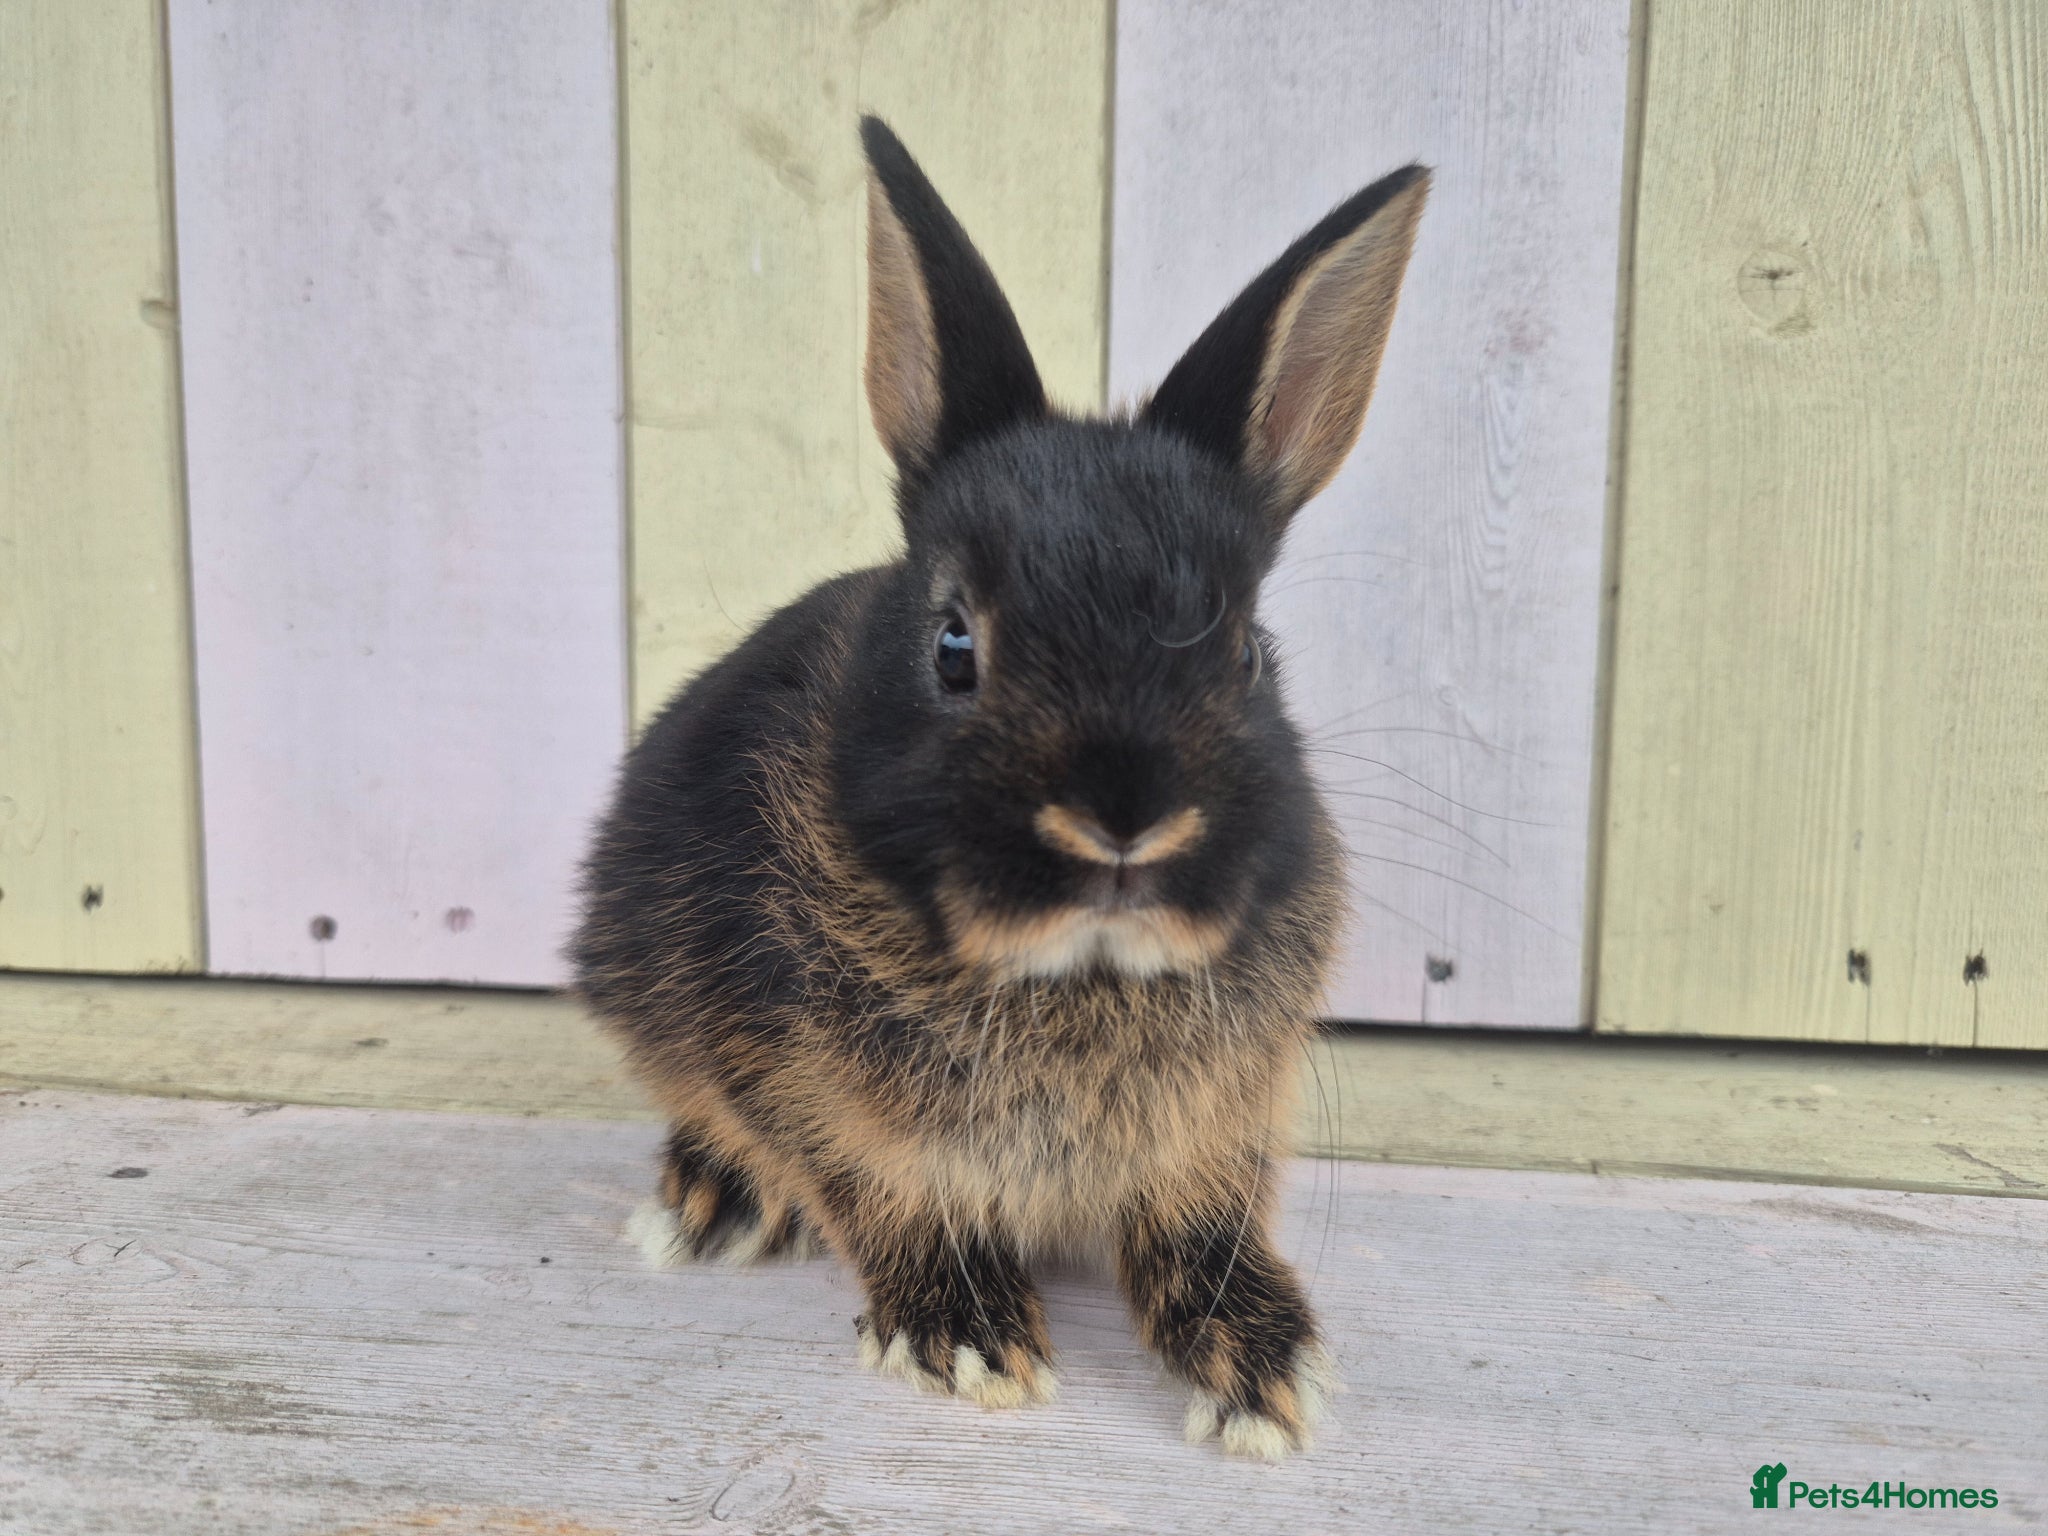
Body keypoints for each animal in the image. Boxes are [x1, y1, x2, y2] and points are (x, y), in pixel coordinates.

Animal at [575, 115, 1427, 1460]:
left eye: (1247, 652)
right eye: (951, 645)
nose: (1122, 821)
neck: (1079, 974)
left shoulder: (1219, 1122)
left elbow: (1199, 1221)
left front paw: (1263, 1368)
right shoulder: (810, 1088)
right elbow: (876, 1192)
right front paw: (966, 1335)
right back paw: (713, 1204)